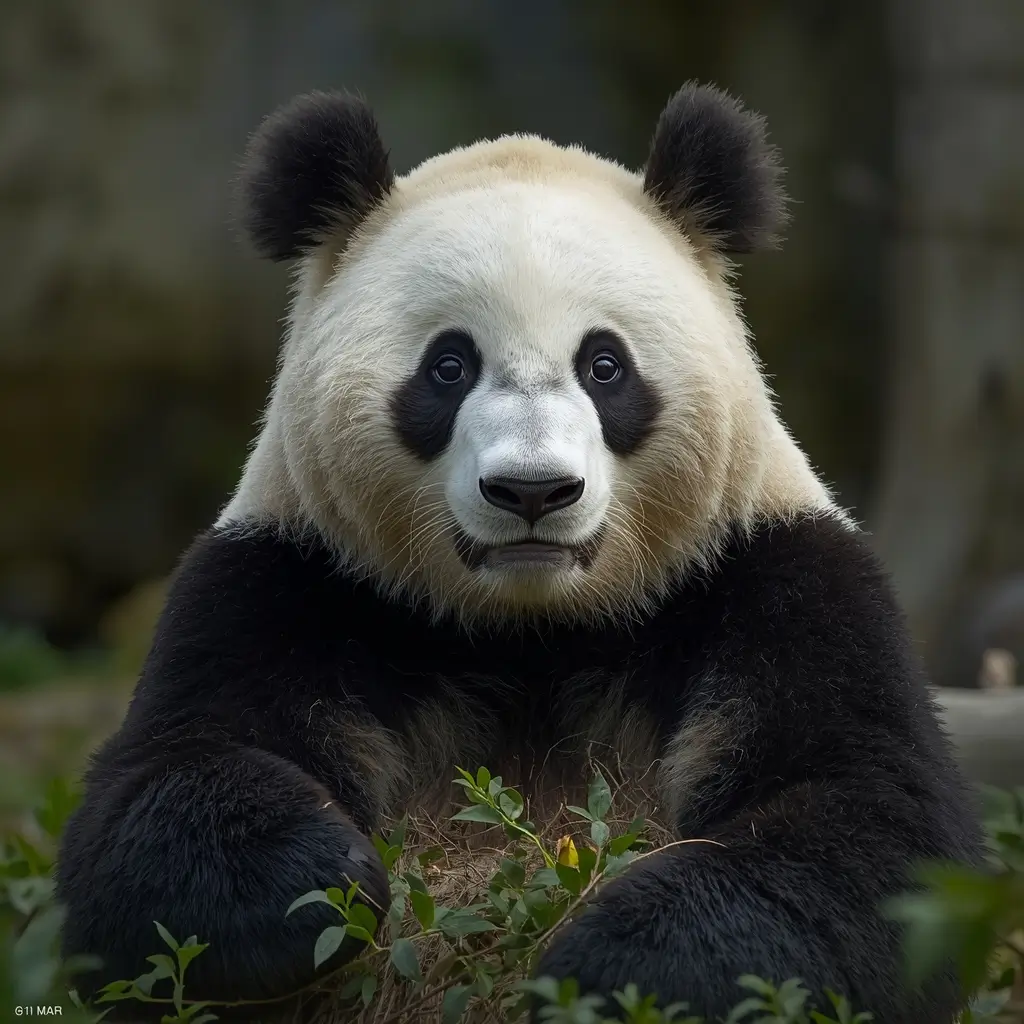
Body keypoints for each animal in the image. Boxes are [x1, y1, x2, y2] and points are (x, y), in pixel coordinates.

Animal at [56, 83, 984, 1023]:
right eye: (449, 365)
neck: (532, 630)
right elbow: (158, 793)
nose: (533, 491)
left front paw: (615, 967)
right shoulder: (292, 578)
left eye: (605, 365)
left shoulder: (770, 576)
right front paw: (322, 882)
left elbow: (873, 815)